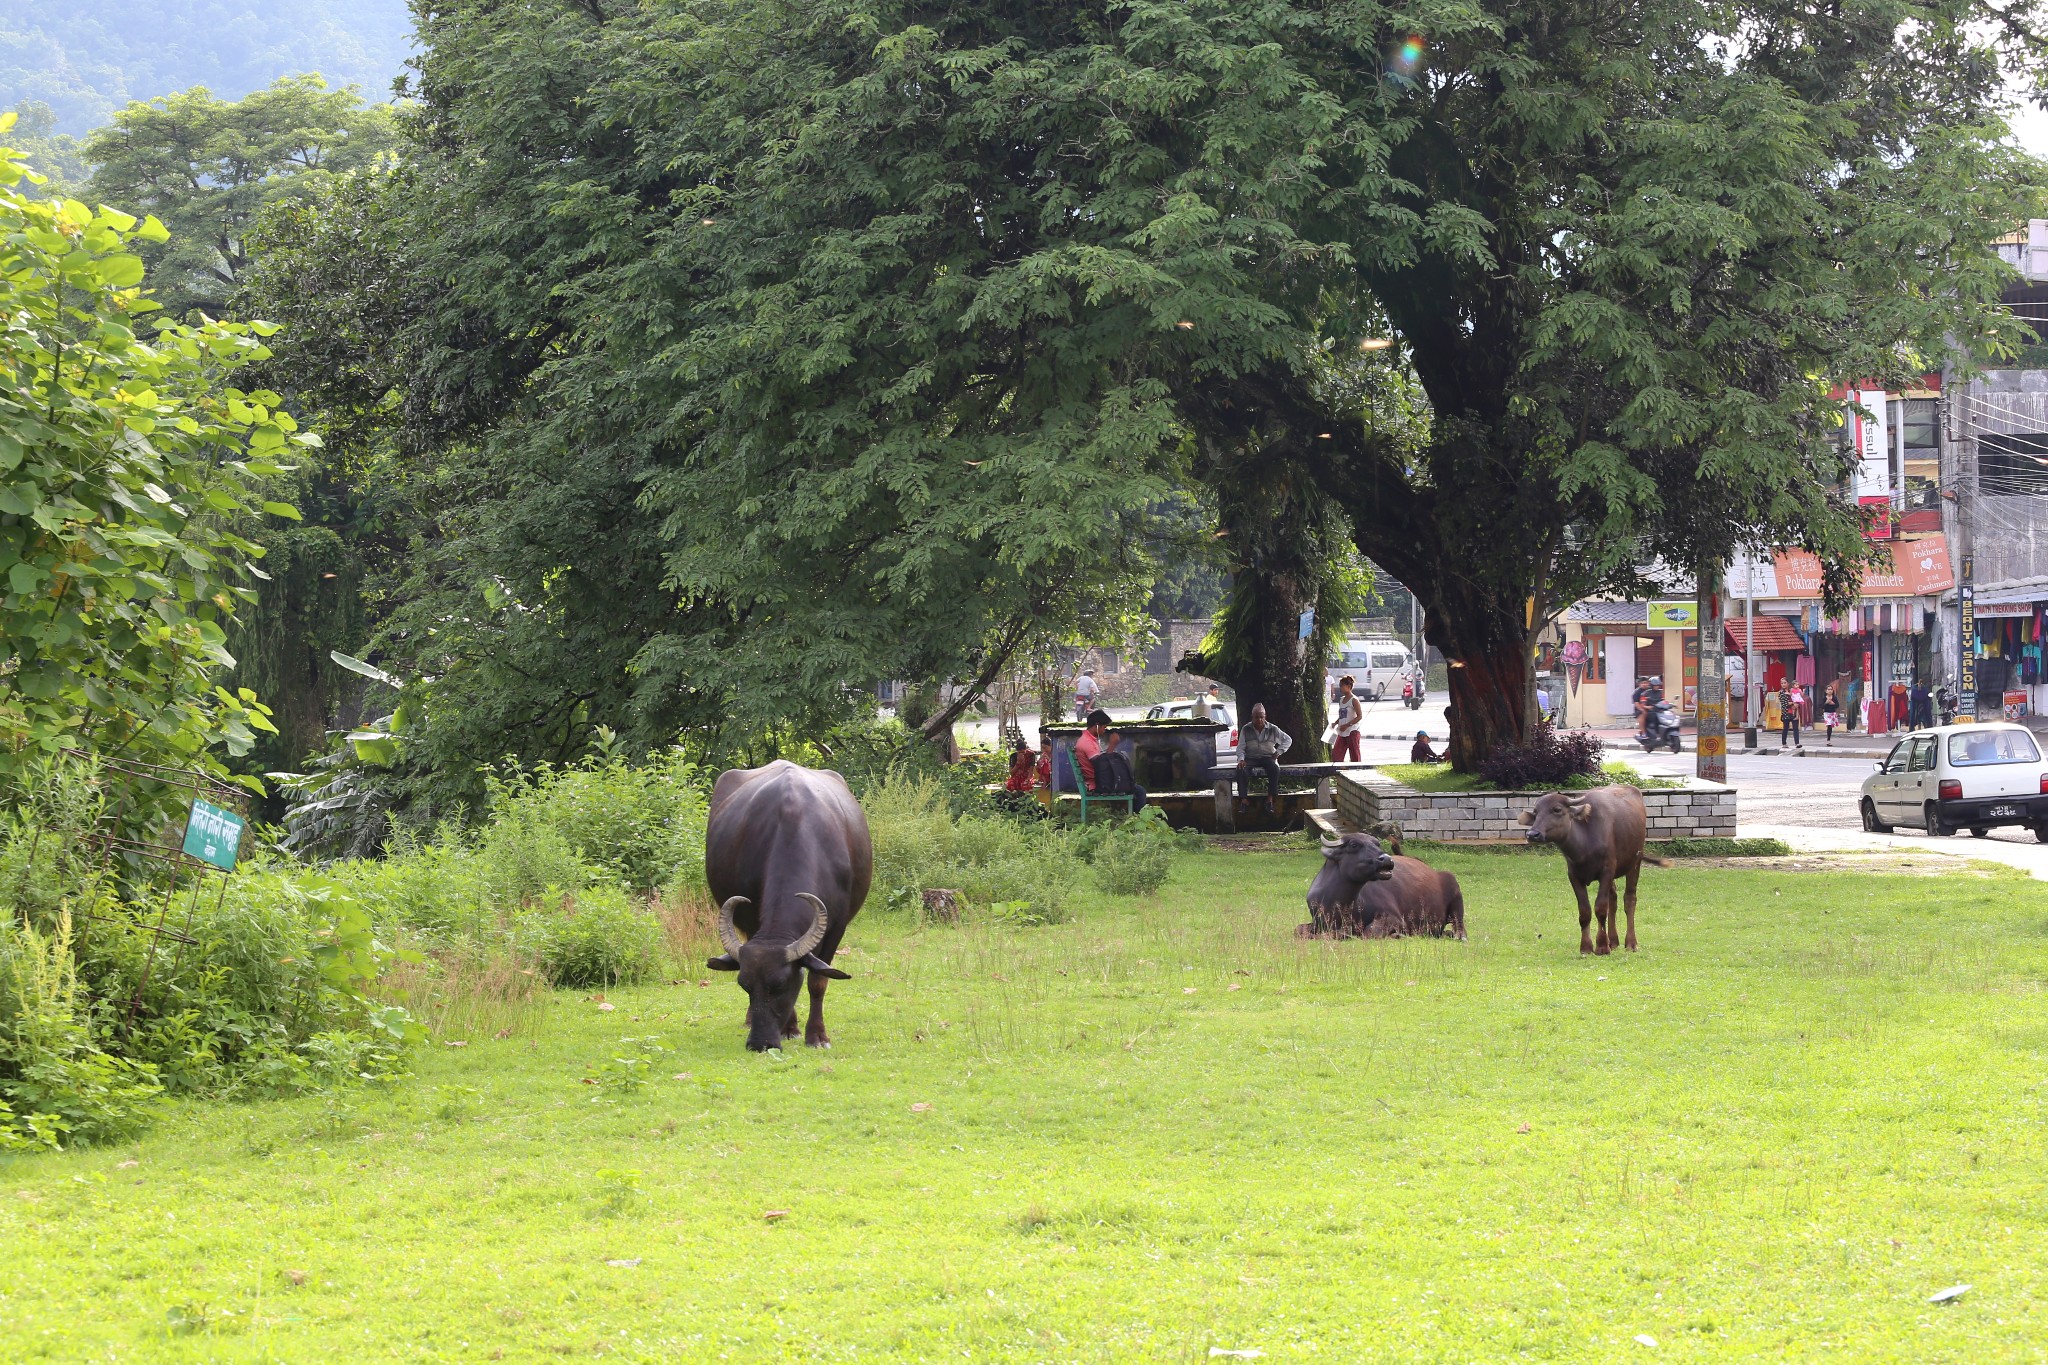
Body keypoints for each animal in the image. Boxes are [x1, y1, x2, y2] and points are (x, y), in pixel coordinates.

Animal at [704, 765, 872, 1055]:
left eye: (780, 985)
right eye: (744, 985)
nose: (760, 1044)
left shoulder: (837, 927)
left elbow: (817, 980)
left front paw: (817, 1036)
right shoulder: (751, 923)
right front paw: (789, 1028)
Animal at [1302, 834, 1466, 941]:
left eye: (1377, 844)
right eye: (1353, 845)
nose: (1386, 859)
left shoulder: (1394, 918)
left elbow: (1368, 932)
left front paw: (1398, 935)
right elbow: (1299, 930)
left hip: (1455, 890)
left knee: (1459, 923)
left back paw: (1458, 936)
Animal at [1523, 785, 1662, 957]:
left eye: (1557, 809)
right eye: (1536, 812)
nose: (1532, 834)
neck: (1585, 845)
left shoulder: (1606, 872)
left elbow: (1600, 908)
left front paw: (1602, 946)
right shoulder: (1574, 876)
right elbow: (1585, 911)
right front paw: (1586, 947)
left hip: (1635, 862)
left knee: (1629, 899)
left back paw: (1631, 943)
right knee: (1613, 899)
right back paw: (1613, 941)